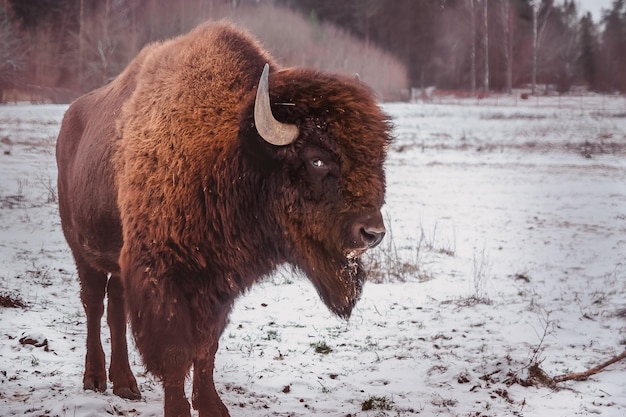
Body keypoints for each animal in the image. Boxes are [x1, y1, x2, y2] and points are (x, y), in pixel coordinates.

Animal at [57, 21, 390, 414]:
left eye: (376, 159)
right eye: (317, 158)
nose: (372, 232)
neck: (227, 149)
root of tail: (69, 120)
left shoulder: (216, 284)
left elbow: (206, 347)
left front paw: (212, 406)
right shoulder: (161, 275)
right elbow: (176, 352)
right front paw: (178, 409)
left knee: (116, 307)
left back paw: (125, 383)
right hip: (82, 248)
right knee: (94, 304)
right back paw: (95, 379)